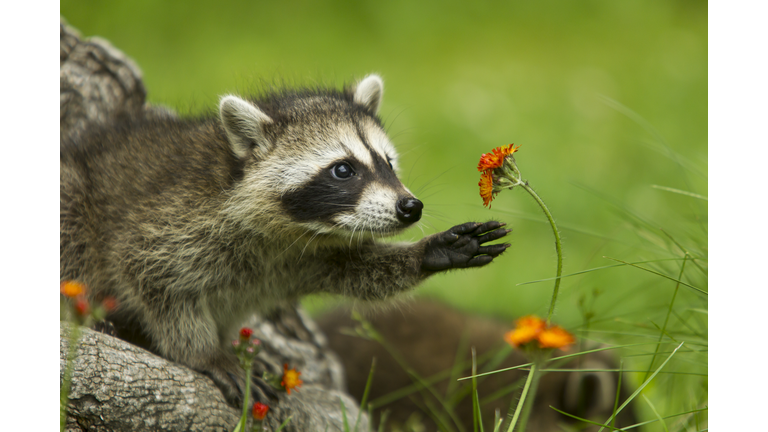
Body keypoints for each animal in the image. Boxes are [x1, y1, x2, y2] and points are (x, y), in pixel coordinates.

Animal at [60, 74, 511, 405]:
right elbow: (152, 278)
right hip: (74, 195)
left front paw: (429, 253)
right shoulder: (171, 221)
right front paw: (203, 352)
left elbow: (357, 271)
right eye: (343, 170)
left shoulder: (306, 255)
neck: (290, 230)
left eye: (387, 162)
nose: (410, 208)